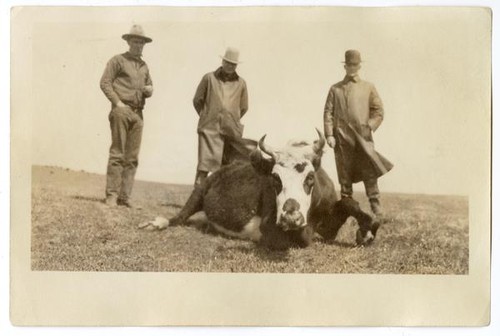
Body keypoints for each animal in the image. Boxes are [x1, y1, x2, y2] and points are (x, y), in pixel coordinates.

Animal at [148, 131, 378, 249]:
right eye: (275, 178)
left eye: (310, 177)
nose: (290, 217)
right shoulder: (270, 227)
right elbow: (298, 238)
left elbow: (349, 203)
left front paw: (366, 231)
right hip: (199, 190)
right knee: (180, 215)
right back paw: (158, 223)